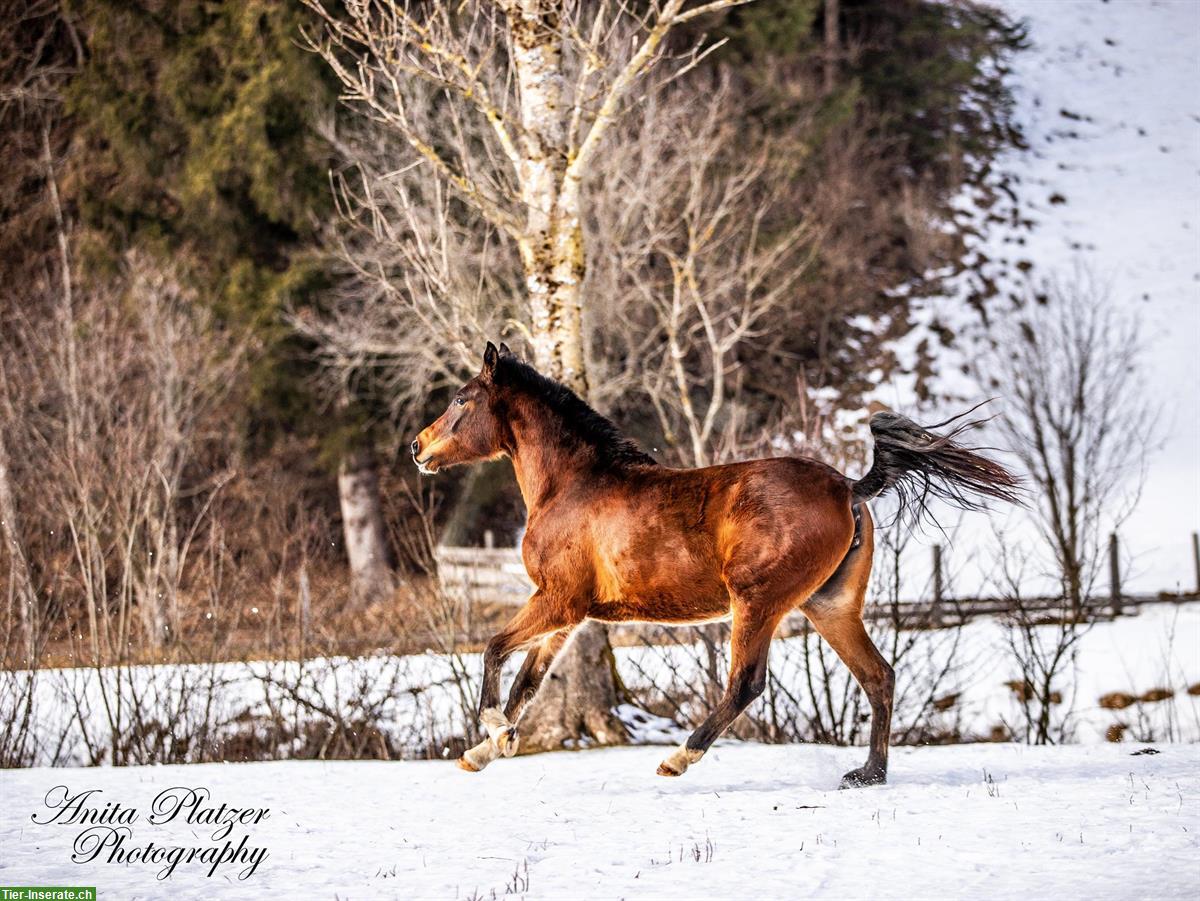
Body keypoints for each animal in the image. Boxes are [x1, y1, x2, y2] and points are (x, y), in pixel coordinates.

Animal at [410, 340, 1012, 787]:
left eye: (461, 400)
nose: (418, 448)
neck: (573, 485)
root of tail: (847, 487)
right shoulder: (568, 615)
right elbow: (525, 685)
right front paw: (486, 750)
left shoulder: (559, 600)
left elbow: (493, 650)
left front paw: (494, 735)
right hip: (830, 607)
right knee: (878, 676)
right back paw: (868, 774)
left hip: (757, 602)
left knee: (747, 683)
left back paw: (678, 758)